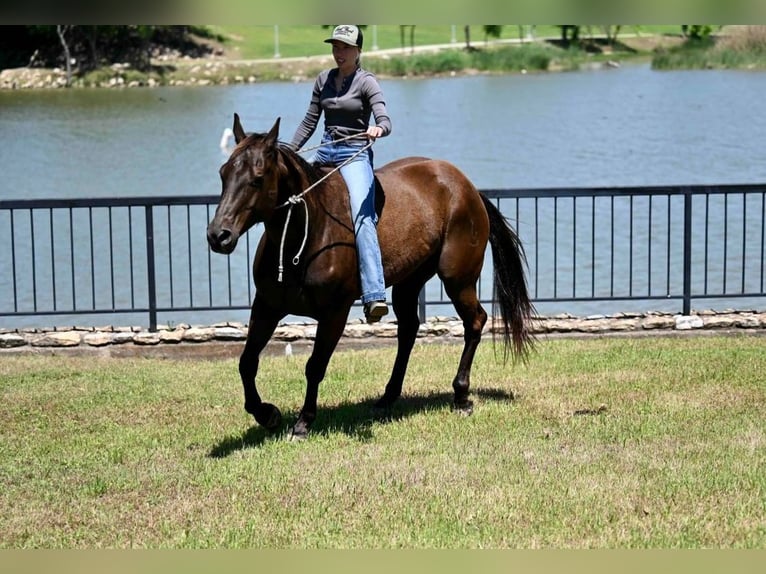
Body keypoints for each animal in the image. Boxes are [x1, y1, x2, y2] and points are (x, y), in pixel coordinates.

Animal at [207, 116, 536, 440]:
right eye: (223, 173)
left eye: (258, 178)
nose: (218, 235)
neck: (307, 234)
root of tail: (468, 189)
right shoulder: (267, 306)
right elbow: (247, 362)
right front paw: (267, 414)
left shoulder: (334, 313)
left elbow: (315, 366)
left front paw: (302, 423)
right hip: (410, 282)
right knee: (408, 329)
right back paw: (388, 397)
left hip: (458, 279)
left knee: (475, 322)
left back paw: (461, 396)